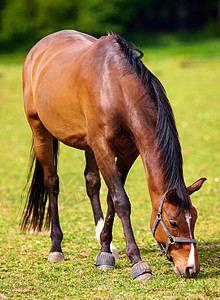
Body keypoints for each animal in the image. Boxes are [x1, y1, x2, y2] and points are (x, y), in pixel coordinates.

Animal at [21, 29, 205, 280]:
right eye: (174, 223)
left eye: (194, 218)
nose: (191, 268)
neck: (115, 87)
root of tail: (37, 49)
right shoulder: (103, 148)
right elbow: (121, 201)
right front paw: (138, 262)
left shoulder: (128, 153)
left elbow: (111, 198)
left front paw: (105, 252)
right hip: (40, 130)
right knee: (52, 183)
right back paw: (56, 247)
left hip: (87, 145)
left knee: (92, 183)